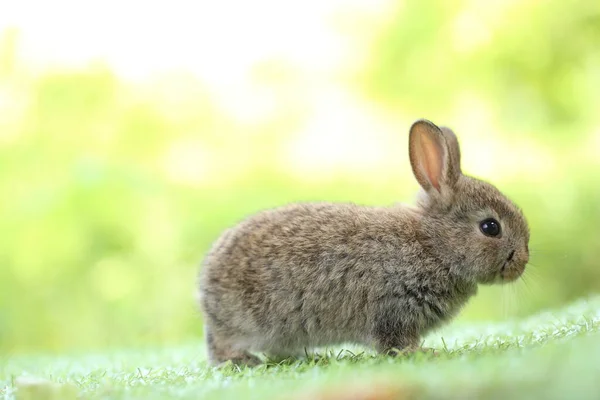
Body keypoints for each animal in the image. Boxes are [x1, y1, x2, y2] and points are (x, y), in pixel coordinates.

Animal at [197, 119, 528, 366]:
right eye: (490, 227)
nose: (522, 262)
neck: (434, 246)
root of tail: (203, 288)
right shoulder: (393, 308)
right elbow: (395, 344)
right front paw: (424, 353)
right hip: (241, 320)